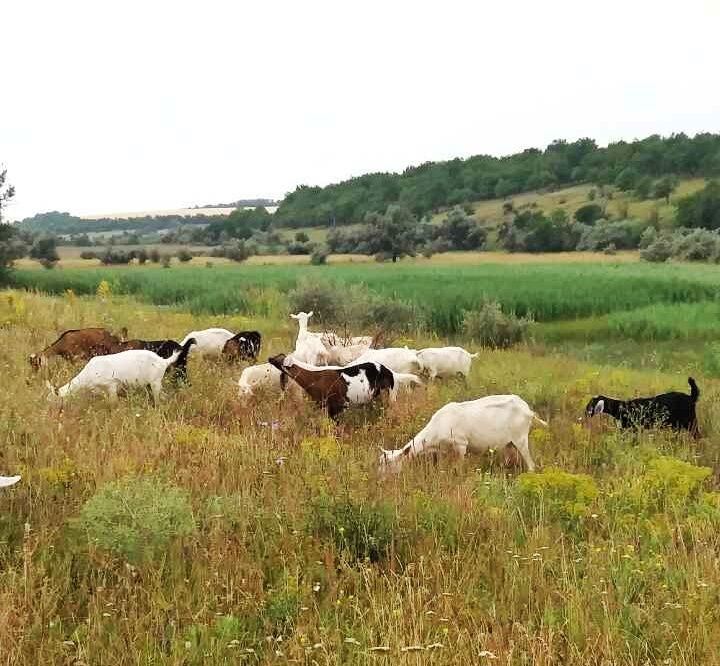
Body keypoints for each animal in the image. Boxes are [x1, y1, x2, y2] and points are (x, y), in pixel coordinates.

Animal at [376, 394, 544, 472]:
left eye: (389, 464)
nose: (380, 480)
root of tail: (528, 410)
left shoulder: (461, 444)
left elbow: (459, 466)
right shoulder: (443, 451)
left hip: (520, 438)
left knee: (531, 464)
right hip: (509, 443)